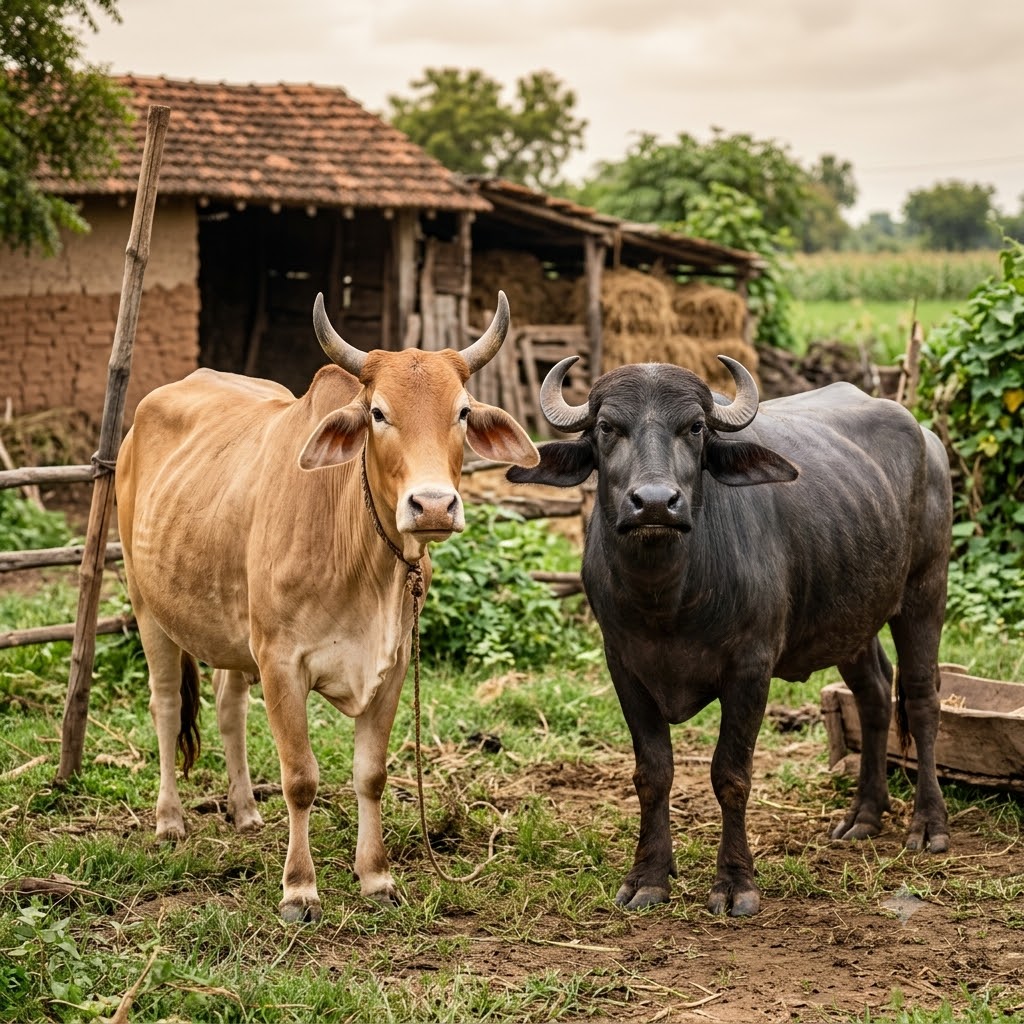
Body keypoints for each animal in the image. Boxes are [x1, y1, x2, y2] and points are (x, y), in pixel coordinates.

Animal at [116, 292, 539, 922]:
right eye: (378, 413)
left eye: (462, 412)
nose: (433, 506)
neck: (363, 562)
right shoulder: (281, 662)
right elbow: (301, 778)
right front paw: (299, 888)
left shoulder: (391, 666)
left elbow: (371, 775)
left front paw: (377, 877)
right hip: (149, 610)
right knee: (166, 707)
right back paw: (169, 821)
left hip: (232, 635)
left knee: (228, 707)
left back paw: (244, 809)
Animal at [507, 355, 952, 917]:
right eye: (607, 427)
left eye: (695, 427)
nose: (656, 503)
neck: (668, 598)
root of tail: (928, 440)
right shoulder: (624, 667)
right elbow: (652, 773)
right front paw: (648, 877)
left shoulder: (750, 670)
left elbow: (731, 774)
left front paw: (736, 883)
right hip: (852, 615)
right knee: (873, 694)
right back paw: (864, 816)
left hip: (925, 590)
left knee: (921, 697)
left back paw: (928, 826)